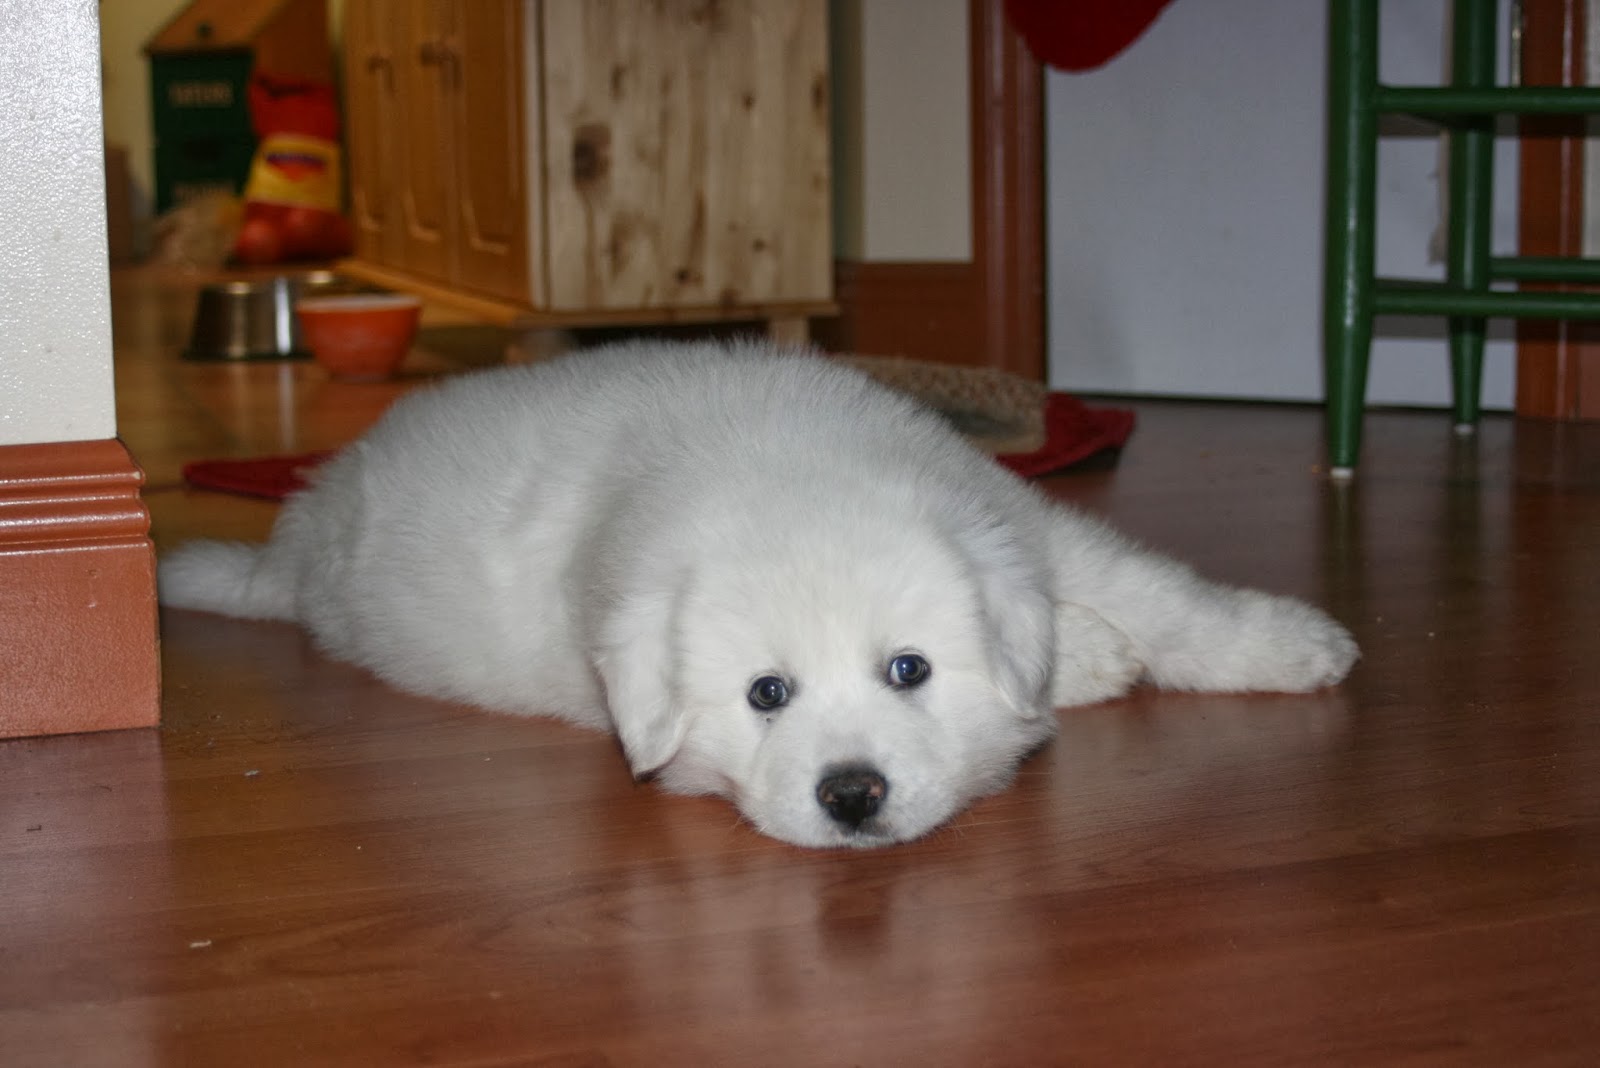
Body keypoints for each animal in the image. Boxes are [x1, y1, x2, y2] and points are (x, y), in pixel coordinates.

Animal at [160, 339, 1358, 848]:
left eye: (909, 669)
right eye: (765, 696)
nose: (852, 795)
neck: (790, 469)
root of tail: (305, 527)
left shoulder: (1026, 524)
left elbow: (1160, 592)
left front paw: (1293, 644)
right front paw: (1096, 661)